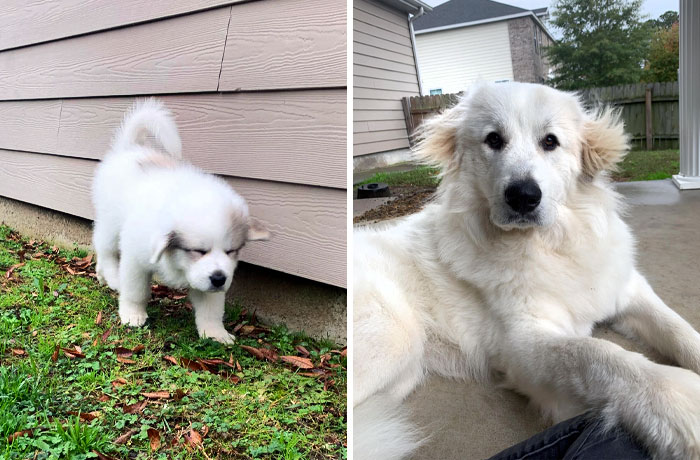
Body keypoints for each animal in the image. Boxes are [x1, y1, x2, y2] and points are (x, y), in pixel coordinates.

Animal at [91, 99, 270, 344]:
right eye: (199, 250)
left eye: (231, 251)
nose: (219, 278)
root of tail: (130, 149)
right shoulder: (136, 260)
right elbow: (136, 291)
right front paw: (133, 314)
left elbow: (211, 309)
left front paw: (215, 333)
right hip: (111, 223)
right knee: (105, 249)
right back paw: (112, 276)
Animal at [352, 82, 700, 460]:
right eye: (493, 139)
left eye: (550, 141)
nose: (522, 196)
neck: (550, 247)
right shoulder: (523, 345)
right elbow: (603, 356)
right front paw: (684, 403)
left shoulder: (628, 290)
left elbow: (678, 328)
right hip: (395, 339)